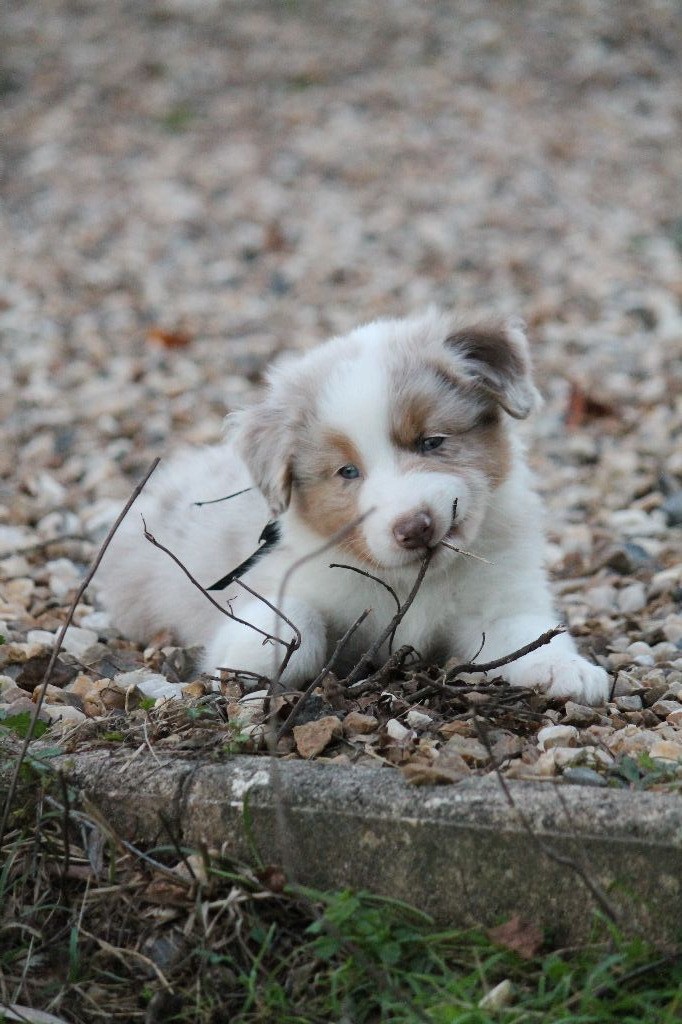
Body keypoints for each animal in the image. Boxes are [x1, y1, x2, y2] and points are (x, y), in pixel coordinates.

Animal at [98, 309, 609, 704]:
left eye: (432, 441)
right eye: (347, 472)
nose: (415, 527)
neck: (412, 580)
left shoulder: (500, 599)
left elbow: (529, 636)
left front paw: (569, 670)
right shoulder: (275, 584)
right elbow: (294, 622)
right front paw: (250, 663)